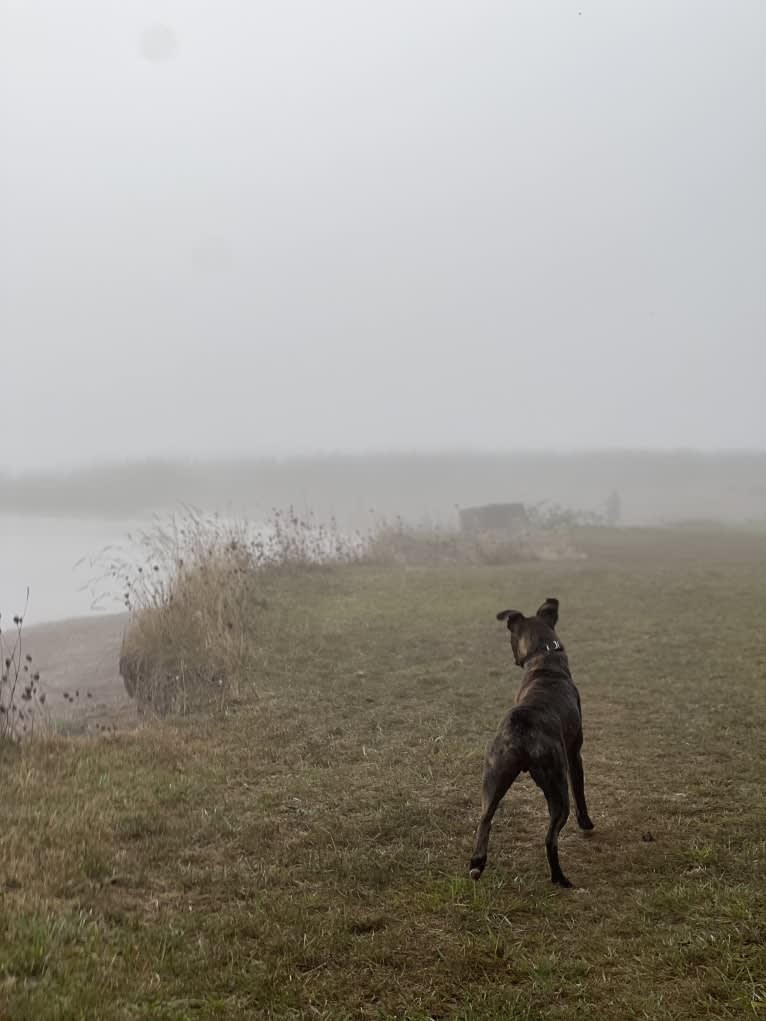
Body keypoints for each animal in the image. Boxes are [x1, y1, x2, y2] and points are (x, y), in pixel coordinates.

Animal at [471, 596, 596, 886]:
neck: (544, 659)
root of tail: (520, 730)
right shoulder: (575, 754)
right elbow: (581, 792)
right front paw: (586, 824)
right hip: (557, 788)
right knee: (550, 838)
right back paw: (560, 879)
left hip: (493, 777)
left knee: (484, 819)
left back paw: (477, 864)